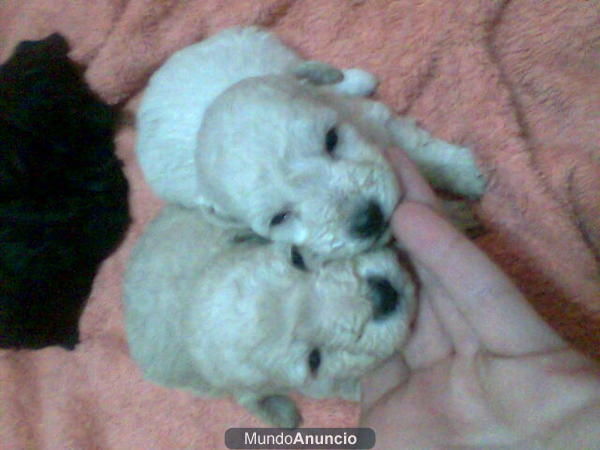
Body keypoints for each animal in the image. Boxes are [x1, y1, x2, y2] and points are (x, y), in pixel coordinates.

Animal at [138, 26, 486, 258]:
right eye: (279, 218)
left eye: (332, 139)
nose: (367, 220)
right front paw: (455, 215)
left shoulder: (370, 120)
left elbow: (417, 147)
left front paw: (466, 175)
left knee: (310, 71)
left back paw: (356, 78)